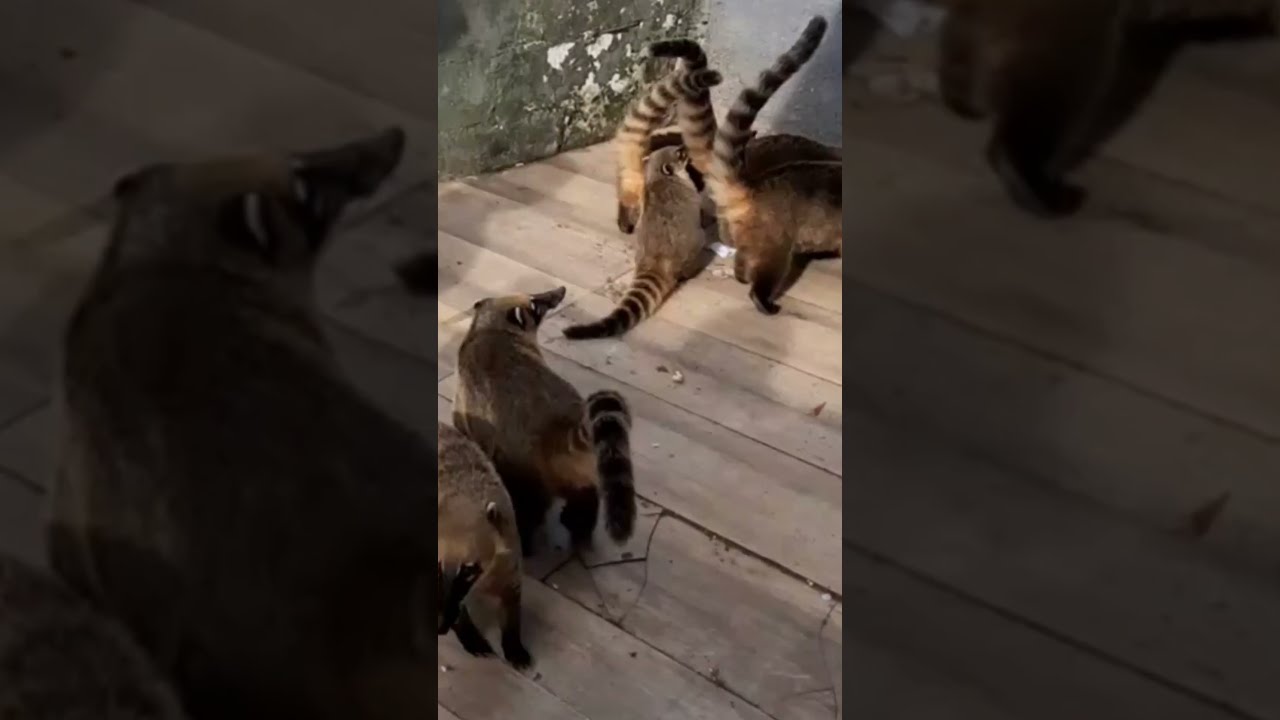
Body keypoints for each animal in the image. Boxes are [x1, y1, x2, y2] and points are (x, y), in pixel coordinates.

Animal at [437, 422, 531, 670]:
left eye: (469, 570)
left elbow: (513, 597)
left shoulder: (510, 552)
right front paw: (468, 633)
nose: (440, 626)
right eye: (437, 565)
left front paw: (514, 643)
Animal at [453, 288, 636, 554]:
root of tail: (561, 424)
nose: (560, 291)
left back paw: (526, 540)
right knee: (585, 496)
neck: (490, 326)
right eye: (536, 303)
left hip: (522, 463)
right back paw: (579, 524)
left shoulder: (465, 395)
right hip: (585, 464)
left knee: (528, 506)